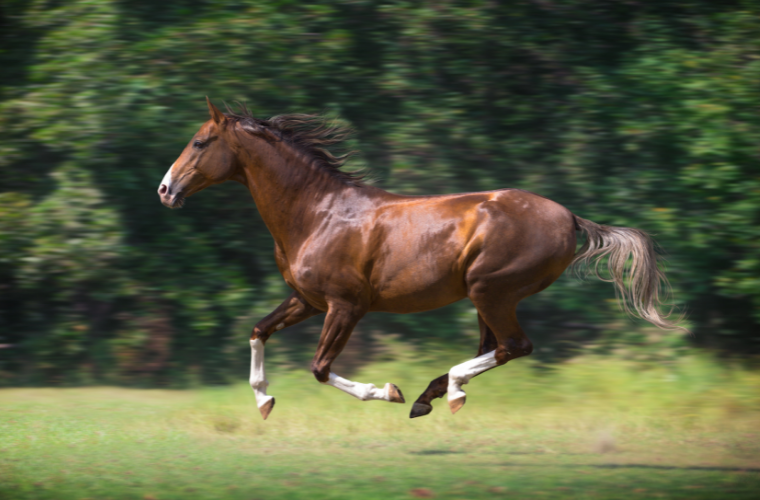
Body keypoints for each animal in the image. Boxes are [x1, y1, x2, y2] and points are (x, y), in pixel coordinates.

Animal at [157, 97, 680, 418]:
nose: (165, 189)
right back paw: (433, 395)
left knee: (513, 346)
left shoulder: (346, 306)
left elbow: (320, 368)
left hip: (491, 289)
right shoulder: (307, 300)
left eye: (200, 142)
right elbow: (258, 330)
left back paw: (445, 393)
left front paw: (388, 391)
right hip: (485, 296)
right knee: (494, 347)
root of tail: (570, 217)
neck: (318, 212)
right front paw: (264, 401)